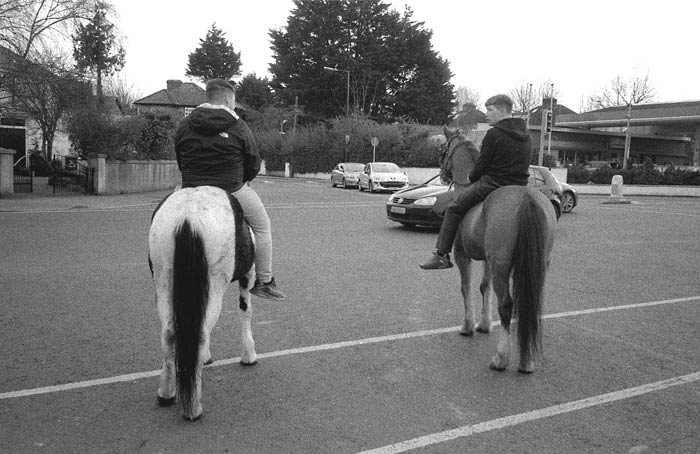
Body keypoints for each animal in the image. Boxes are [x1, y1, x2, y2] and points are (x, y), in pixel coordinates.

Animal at [148, 186, 258, 420]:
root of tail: (188, 217)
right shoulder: (247, 275)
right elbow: (245, 311)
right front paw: (248, 355)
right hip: (214, 284)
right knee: (201, 332)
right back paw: (193, 408)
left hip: (163, 279)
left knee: (169, 333)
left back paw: (166, 394)